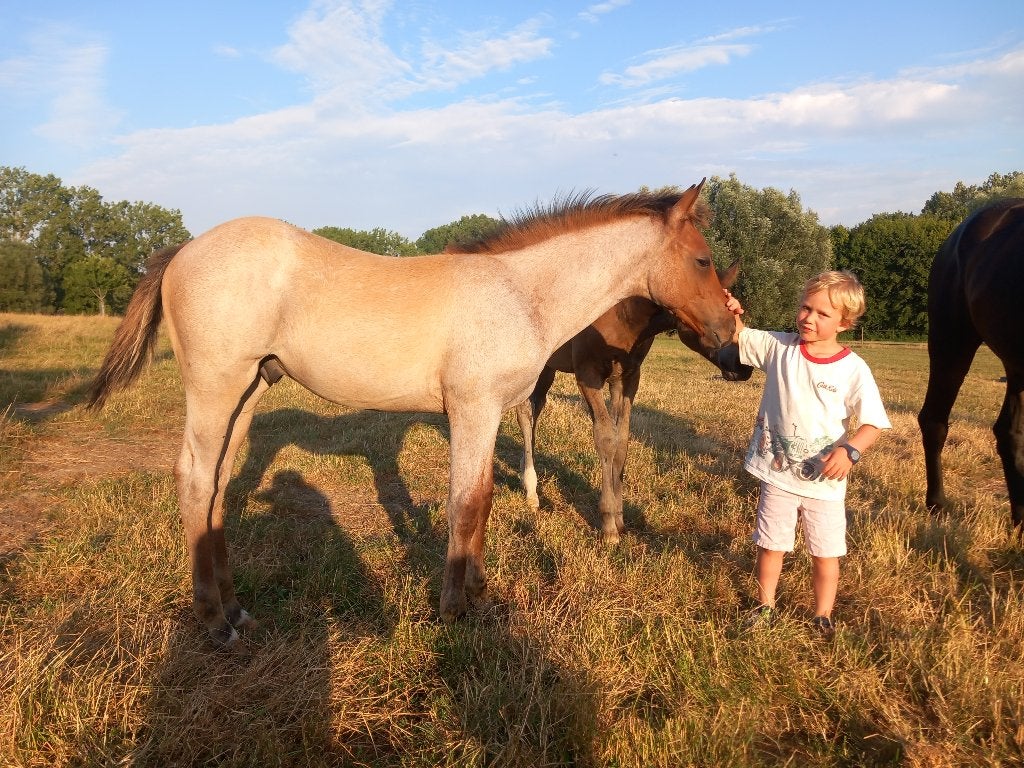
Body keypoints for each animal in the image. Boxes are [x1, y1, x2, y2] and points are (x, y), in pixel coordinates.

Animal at [506, 293, 750, 544]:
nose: (743, 366)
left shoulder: (624, 379)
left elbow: (620, 440)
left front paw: (619, 519)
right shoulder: (588, 375)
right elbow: (605, 438)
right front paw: (609, 527)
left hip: (547, 367)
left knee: (535, 409)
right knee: (524, 412)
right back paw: (531, 492)